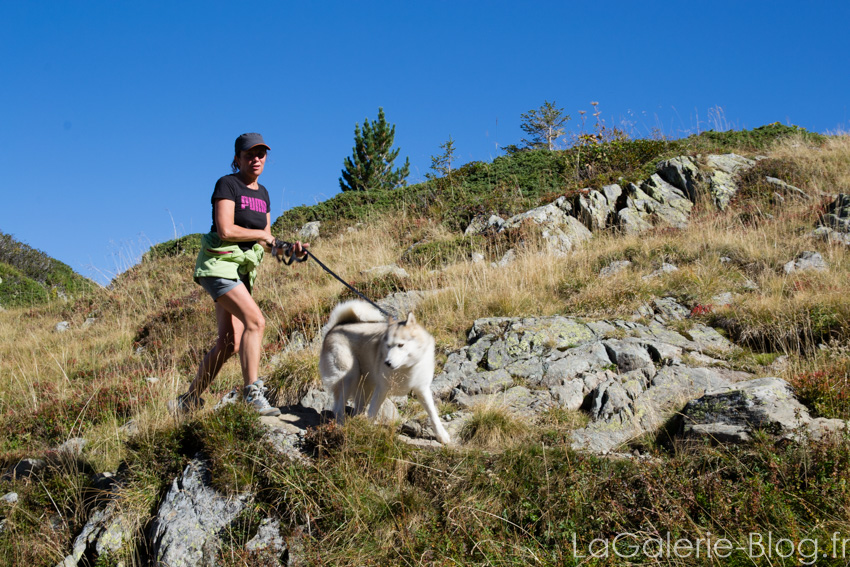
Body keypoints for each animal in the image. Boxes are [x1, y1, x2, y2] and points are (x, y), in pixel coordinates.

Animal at [318, 300, 450, 446]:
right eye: (387, 345)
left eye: (400, 345)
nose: (387, 362)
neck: (406, 368)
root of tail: (336, 327)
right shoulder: (382, 389)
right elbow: (372, 412)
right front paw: (367, 434)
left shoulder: (422, 389)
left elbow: (433, 414)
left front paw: (441, 435)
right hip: (349, 378)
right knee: (338, 409)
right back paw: (341, 428)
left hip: (366, 388)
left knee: (357, 409)